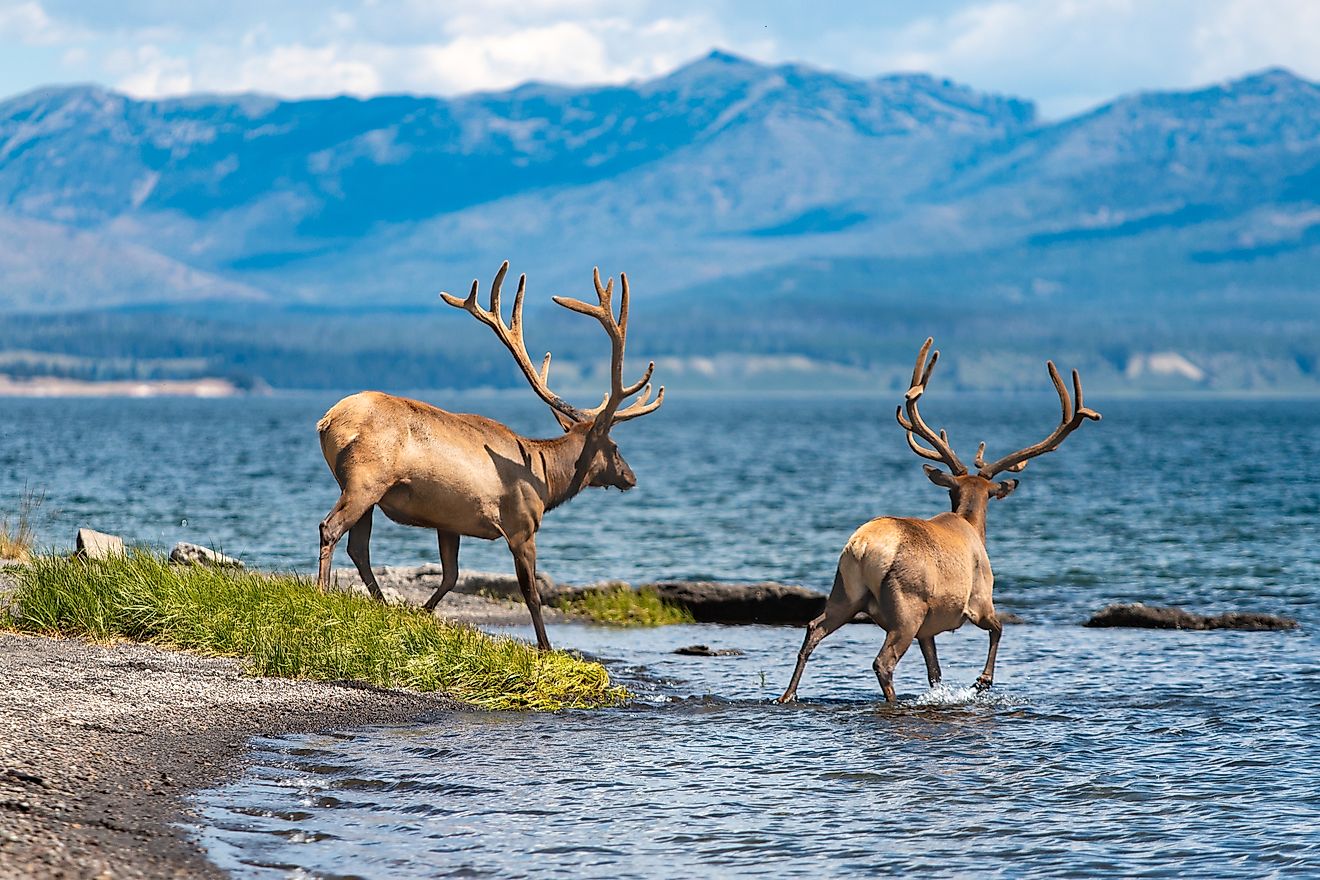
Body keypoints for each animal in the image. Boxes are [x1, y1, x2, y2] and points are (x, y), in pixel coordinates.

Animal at [315, 258, 665, 651]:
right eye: (615, 447)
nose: (631, 477)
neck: (547, 482)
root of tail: (328, 421)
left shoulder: (449, 522)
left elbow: (451, 576)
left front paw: (421, 613)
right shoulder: (521, 526)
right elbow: (531, 594)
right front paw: (546, 647)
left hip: (364, 490)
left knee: (358, 547)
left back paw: (380, 603)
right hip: (366, 479)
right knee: (330, 528)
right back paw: (322, 592)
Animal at [776, 337, 1098, 701]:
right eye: (986, 492)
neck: (972, 526)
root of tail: (863, 548)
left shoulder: (928, 630)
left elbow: (935, 673)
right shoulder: (979, 599)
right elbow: (998, 628)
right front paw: (982, 681)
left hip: (845, 591)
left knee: (813, 630)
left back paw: (787, 695)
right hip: (907, 607)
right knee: (882, 662)